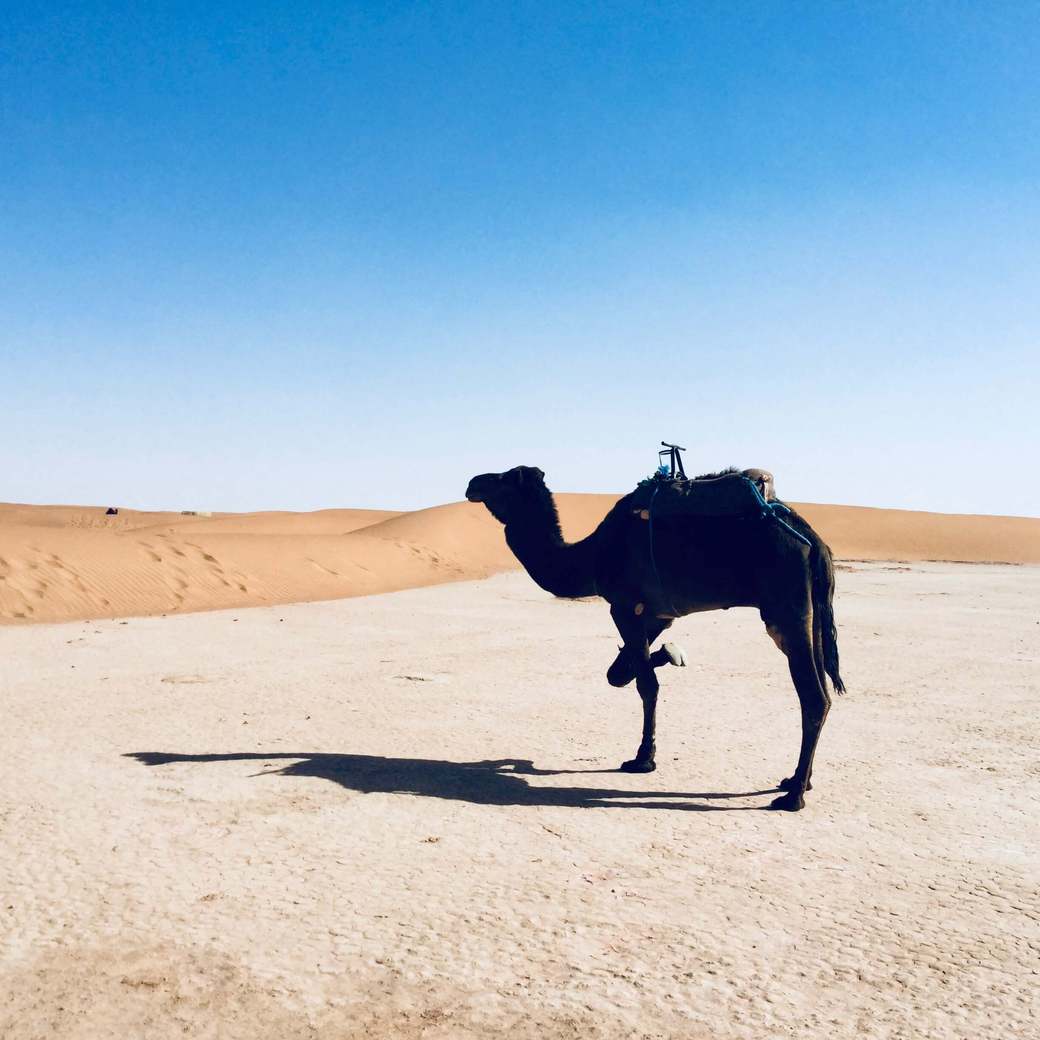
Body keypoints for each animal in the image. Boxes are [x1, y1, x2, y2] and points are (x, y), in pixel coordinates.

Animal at [465, 465, 845, 811]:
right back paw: (797, 780)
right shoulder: (658, 614)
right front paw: (669, 654)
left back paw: (793, 797)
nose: (473, 483)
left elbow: (645, 685)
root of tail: (816, 543)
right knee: (822, 691)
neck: (592, 555)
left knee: (813, 696)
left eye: (505, 479)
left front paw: (642, 759)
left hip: (785, 609)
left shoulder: (624, 606)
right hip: (808, 613)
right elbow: (621, 673)